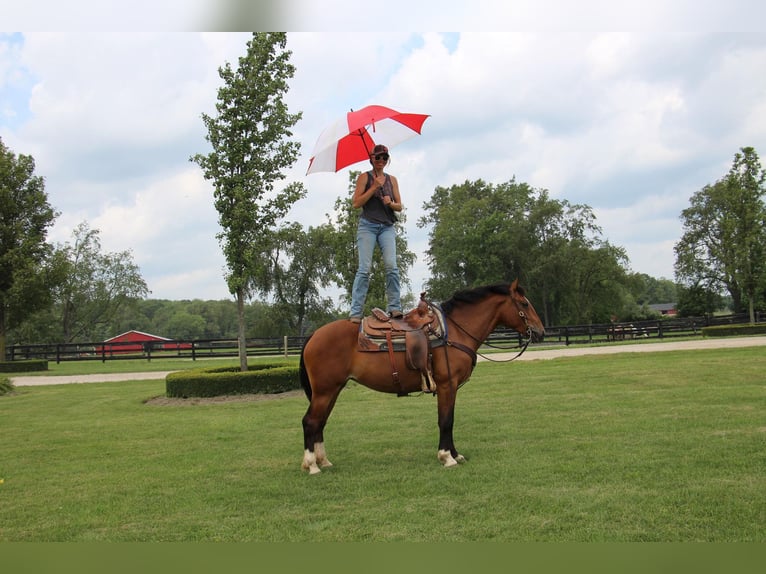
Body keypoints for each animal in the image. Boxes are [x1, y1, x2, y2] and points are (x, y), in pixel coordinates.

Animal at [300, 280, 544, 476]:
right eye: (524, 304)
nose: (540, 332)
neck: (453, 332)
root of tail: (314, 335)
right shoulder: (447, 385)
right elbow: (446, 420)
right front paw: (447, 457)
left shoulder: (452, 388)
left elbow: (450, 419)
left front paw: (456, 454)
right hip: (325, 391)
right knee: (310, 422)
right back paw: (311, 465)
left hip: (333, 390)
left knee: (320, 423)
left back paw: (324, 461)